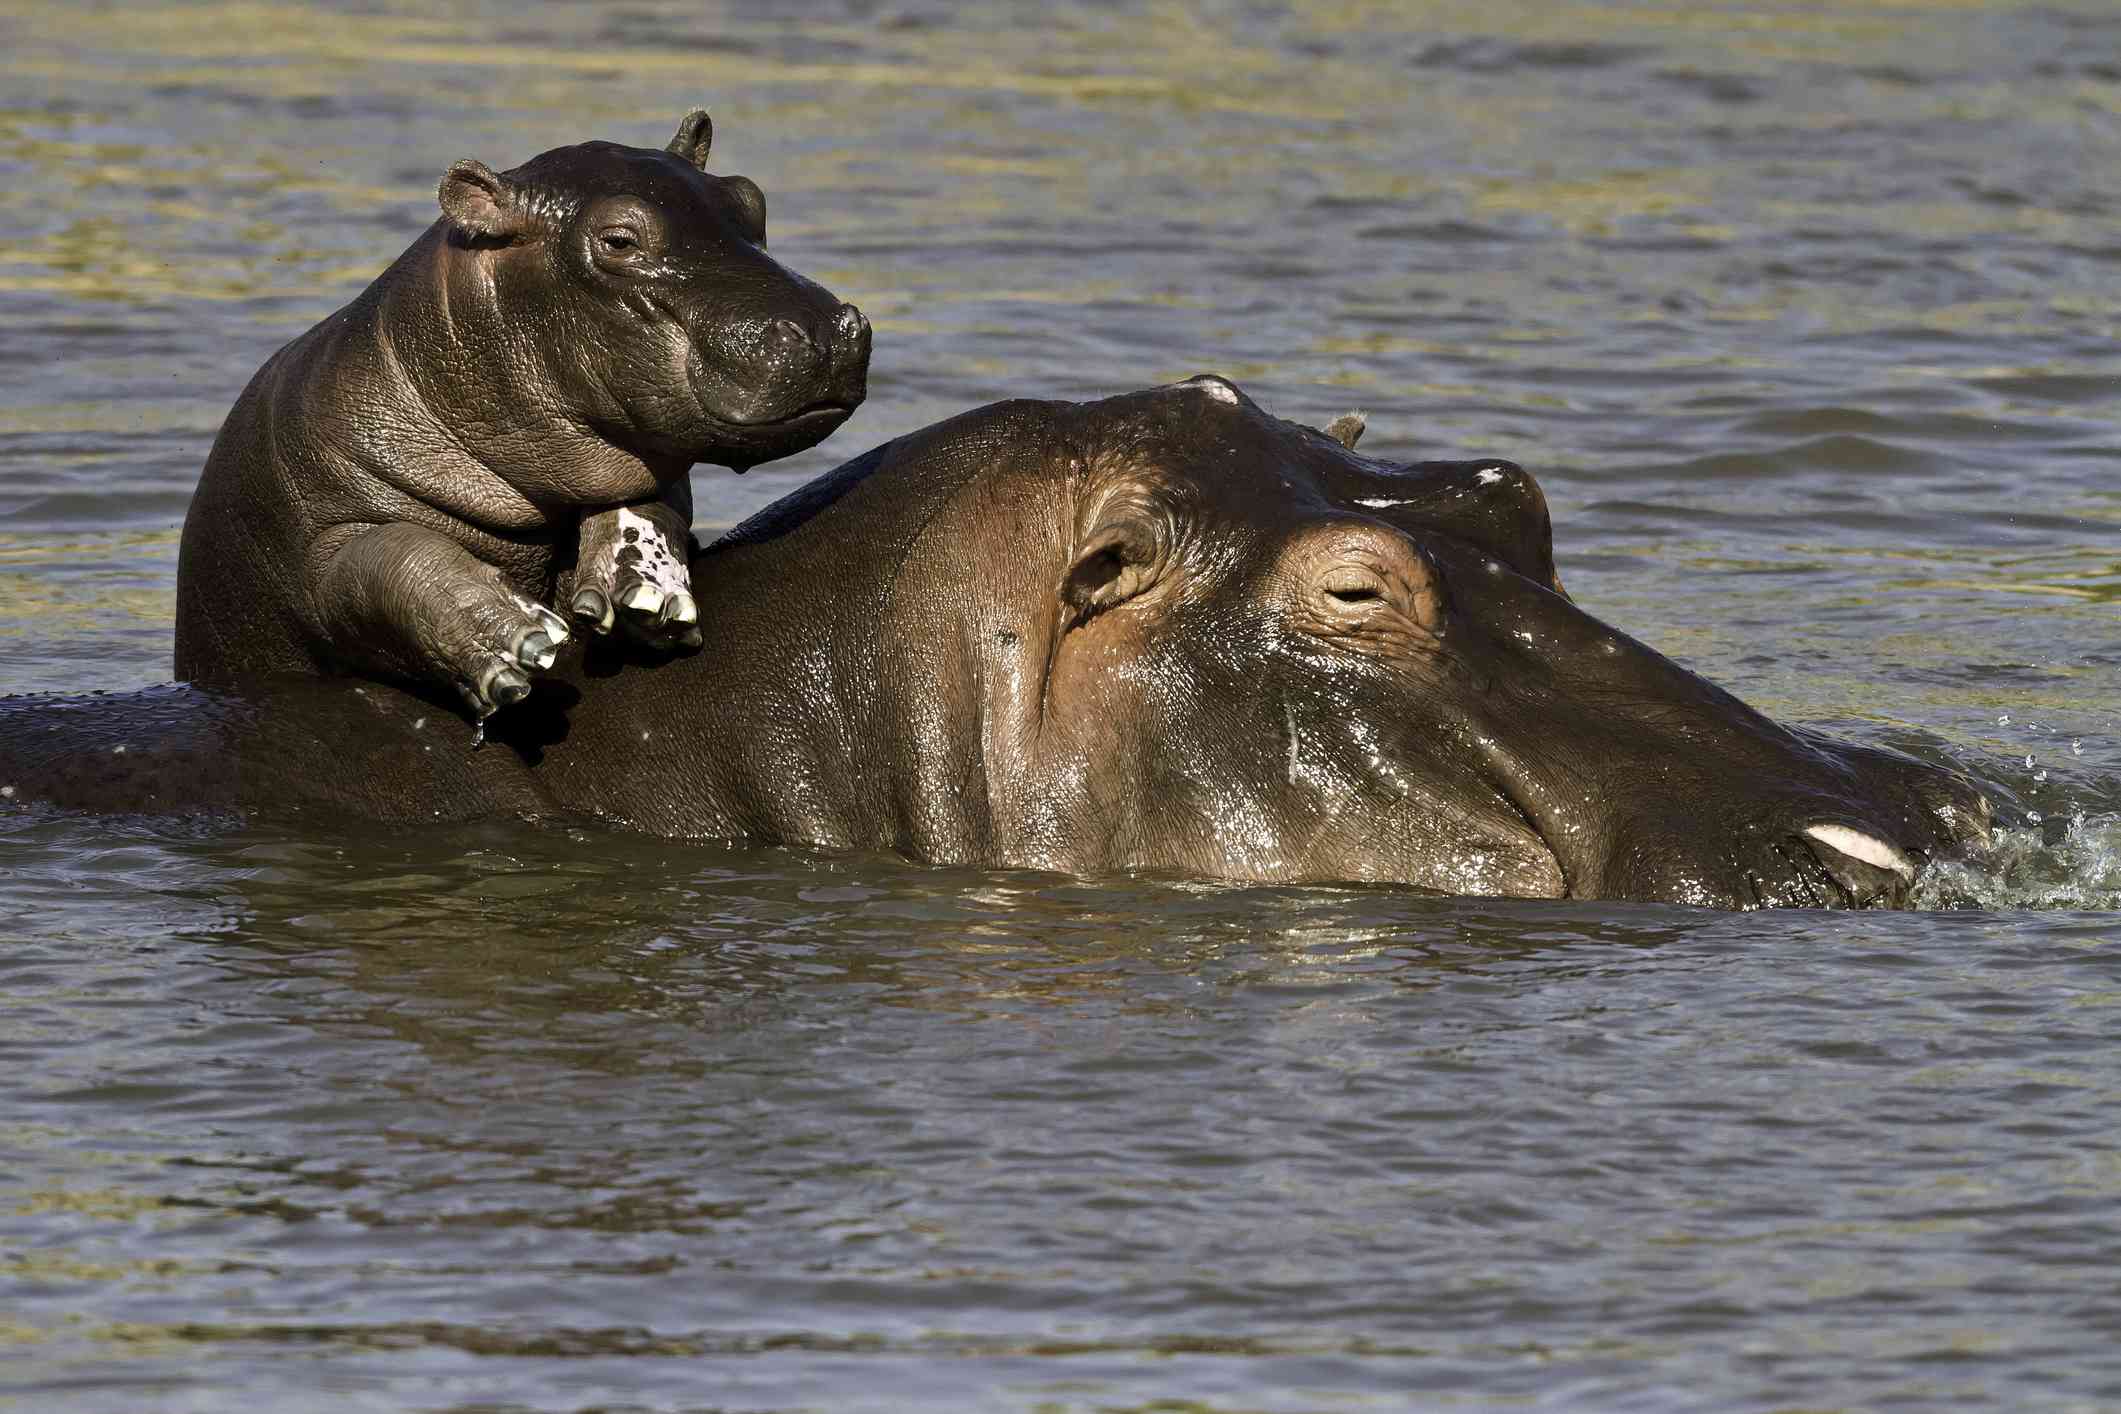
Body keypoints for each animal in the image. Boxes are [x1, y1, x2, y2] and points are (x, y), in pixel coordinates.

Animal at [171, 113, 869, 720]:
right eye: (619, 239)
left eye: (751, 199)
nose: (824, 330)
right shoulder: (320, 543)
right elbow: (387, 557)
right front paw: (517, 638)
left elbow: (646, 499)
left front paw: (646, 590)